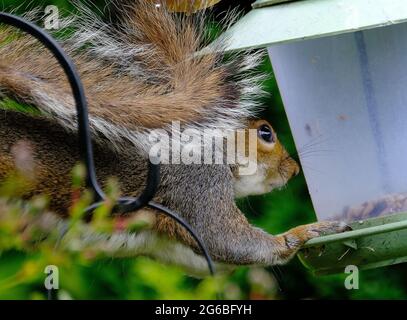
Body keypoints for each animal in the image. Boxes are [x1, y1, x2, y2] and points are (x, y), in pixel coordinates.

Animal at [0, 0, 348, 276]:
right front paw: (307, 231)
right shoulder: (197, 185)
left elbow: (211, 261)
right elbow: (229, 241)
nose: (294, 169)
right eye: (266, 132)